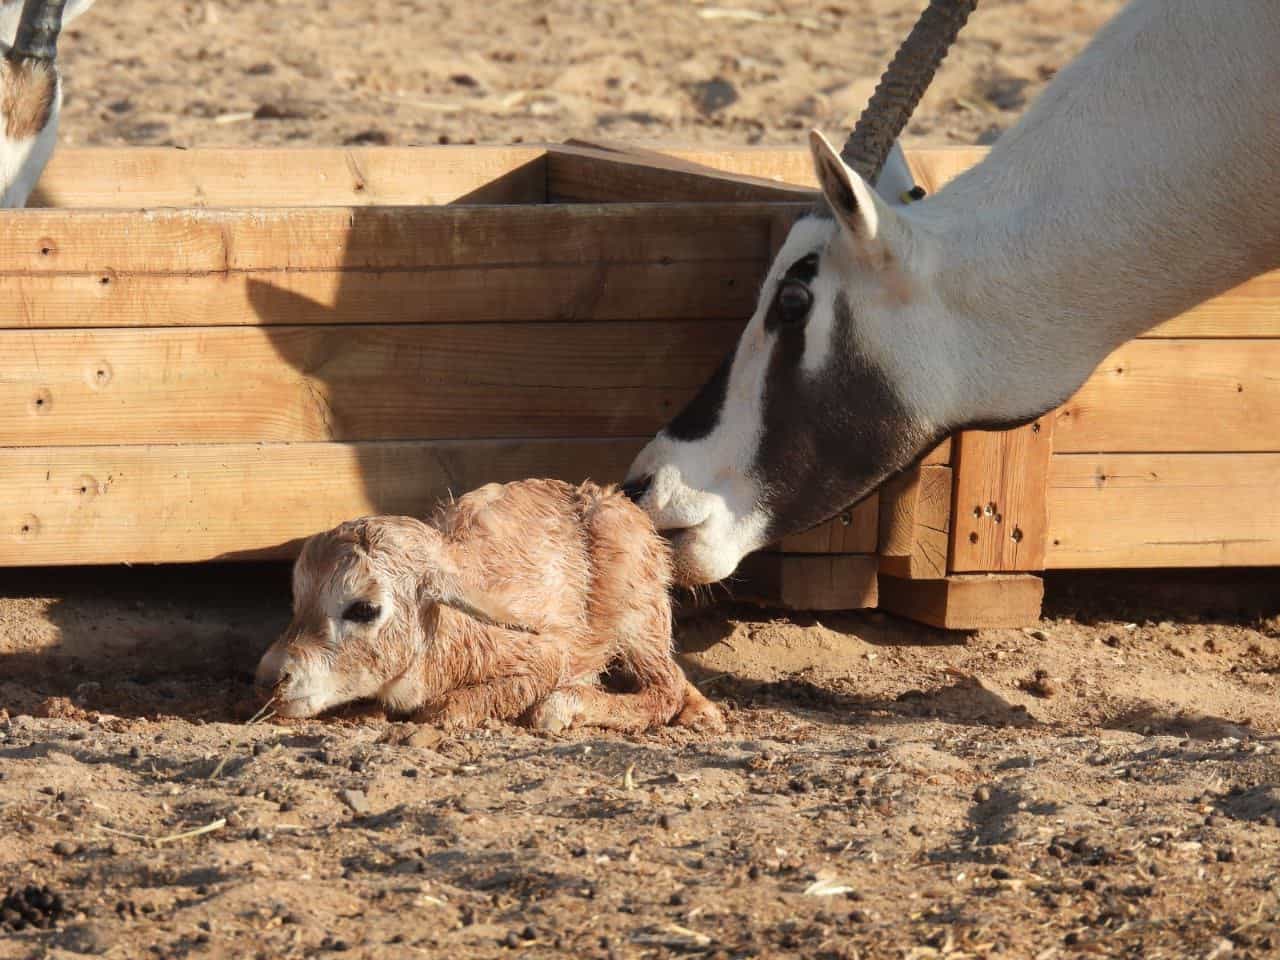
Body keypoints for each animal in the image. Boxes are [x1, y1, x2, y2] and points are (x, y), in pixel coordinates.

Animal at [254, 478, 727, 732]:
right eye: (297, 600)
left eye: (364, 609)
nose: (270, 679)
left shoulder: (545, 656)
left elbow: (443, 709)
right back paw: (704, 713)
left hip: (636, 609)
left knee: (663, 686)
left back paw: (562, 709)